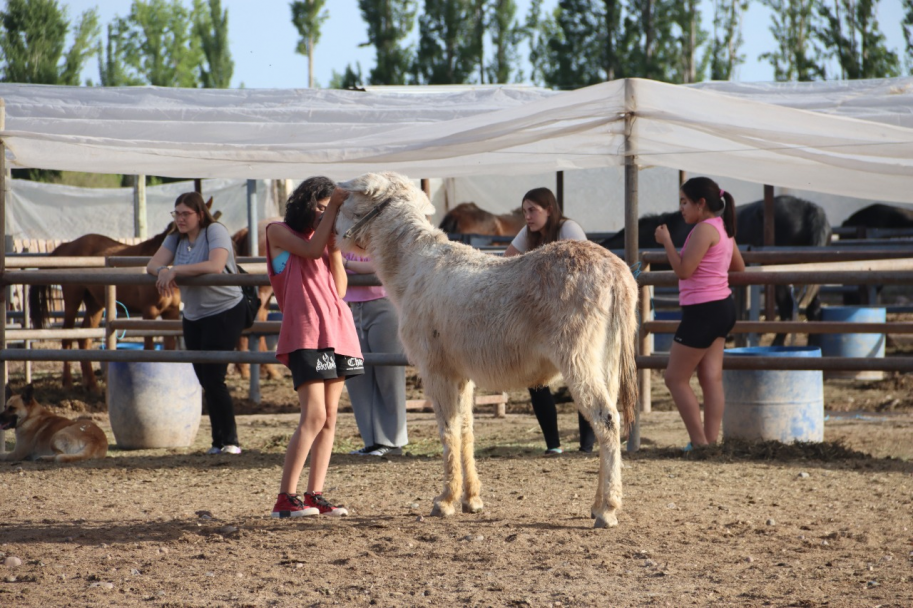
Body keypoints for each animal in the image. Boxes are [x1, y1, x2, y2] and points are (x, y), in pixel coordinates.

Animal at [27, 223, 181, 394]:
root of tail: (67, 245)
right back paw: (67, 383)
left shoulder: (171, 313)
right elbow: (149, 348)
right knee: (67, 336)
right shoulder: (149, 311)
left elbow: (170, 348)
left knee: (84, 338)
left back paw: (92, 386)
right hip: (73, 300)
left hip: (95, 305)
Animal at [332, 172, 636, 528]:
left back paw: (607, 510)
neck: (412, 265)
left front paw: (445, 500)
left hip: (579, 355)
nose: (333, 233)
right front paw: (471, 499)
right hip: (608, 357)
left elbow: (448, 429)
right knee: (610, 419)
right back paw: (598, 502)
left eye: (347, 199)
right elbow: (466, 429)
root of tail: (616, 274)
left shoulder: (436, 368)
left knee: (607, 420)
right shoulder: (461, 373)